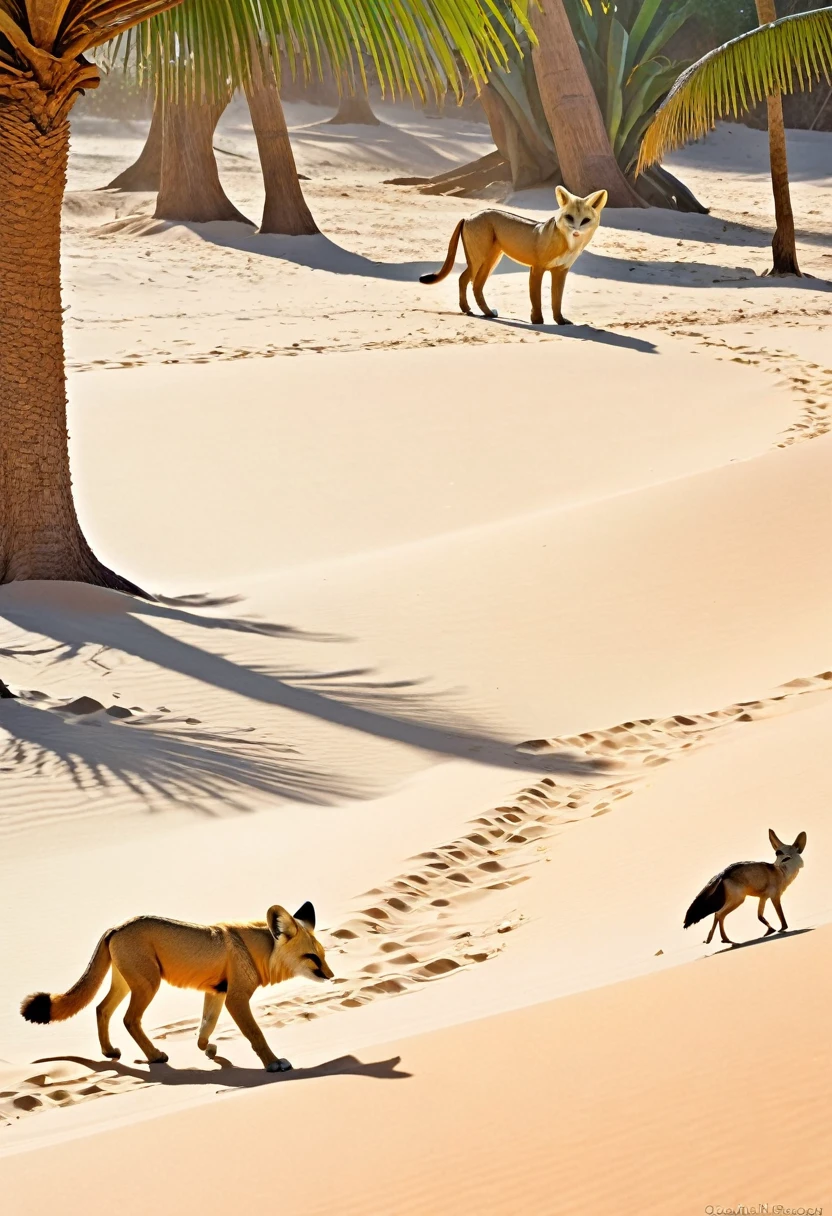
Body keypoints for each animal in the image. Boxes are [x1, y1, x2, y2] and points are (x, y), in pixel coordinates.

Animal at [20, 899, 330, 1070]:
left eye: (323, 955)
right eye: (312, 957)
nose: (331, 975)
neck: (258, 951)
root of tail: (117, 926)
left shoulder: (216, 993)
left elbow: (205, 1027)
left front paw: (208, 1049)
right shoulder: (236, 998)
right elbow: (256, 1034)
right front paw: (273, 1063)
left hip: (127, 984)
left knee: (101, 1009)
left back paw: (109, 1052)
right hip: (148, 985)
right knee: (129, 1019)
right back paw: (155, 1056)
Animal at [423, 183, 603, 325]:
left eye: (585, 220)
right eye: (569, 217)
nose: (576, 231)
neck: (568, 244)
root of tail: (469, 215)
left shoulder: (560, 271)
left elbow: (556, 300)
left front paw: (560, 321)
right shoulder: (537, 268)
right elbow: (536, 298)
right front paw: (537, 320)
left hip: (490, 261)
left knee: (476, 286)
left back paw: (488, 313)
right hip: (479, 261)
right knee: (464, 279)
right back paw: (467, 309)